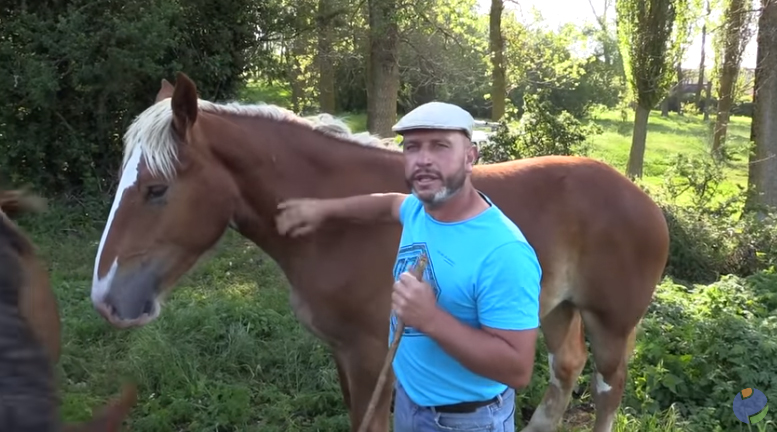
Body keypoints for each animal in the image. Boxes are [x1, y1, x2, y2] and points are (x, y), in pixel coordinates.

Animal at [89, 72, 668, 430]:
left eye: (156, 189)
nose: (106, 299)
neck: (336, 230)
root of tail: (642, 198)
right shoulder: (344, 354)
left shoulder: (372, 358)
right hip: (555, 308)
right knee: (564, 369)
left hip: (611, 323)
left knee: (607, 388)